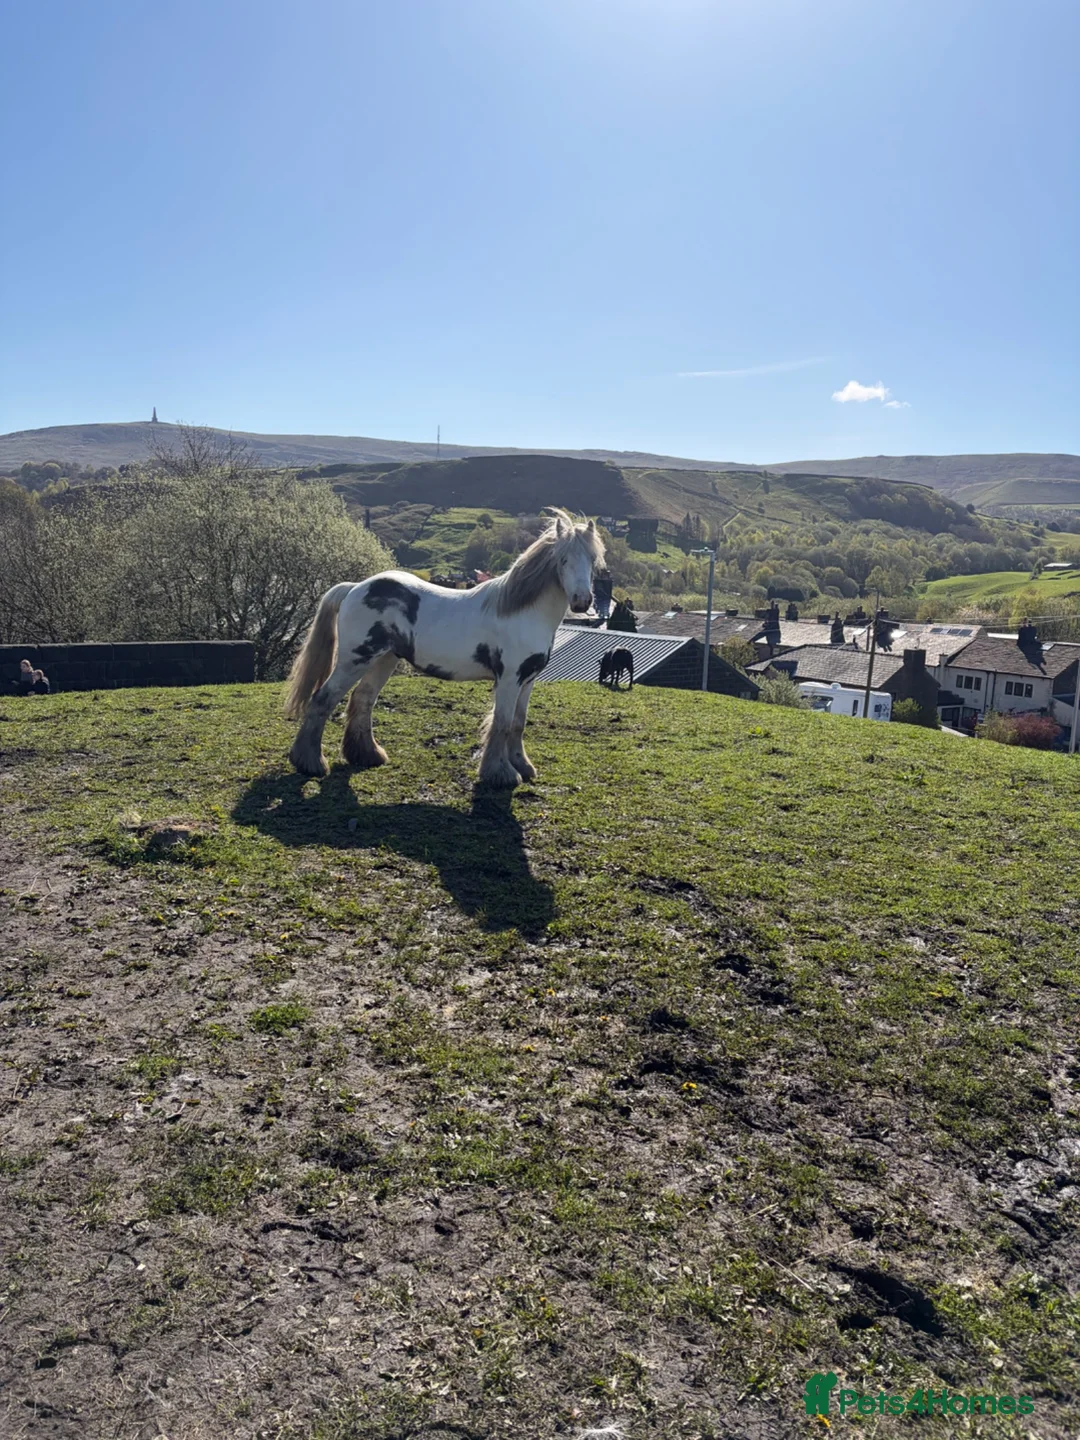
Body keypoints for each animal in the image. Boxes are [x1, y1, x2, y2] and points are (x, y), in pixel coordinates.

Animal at [284, 508, 605, 788]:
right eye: (562, 559)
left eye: (592, 559)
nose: (581, 601)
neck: (523, 612)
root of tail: (354, 588)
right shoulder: (509, 679)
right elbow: (501, 723)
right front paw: (500, 773)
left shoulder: (528, 680)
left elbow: (518, 722)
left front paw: (523, 767)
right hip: (354, 659)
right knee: (322, 699)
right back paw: (310, 763)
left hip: (384, 659)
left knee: (362, 700)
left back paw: (367, 755)